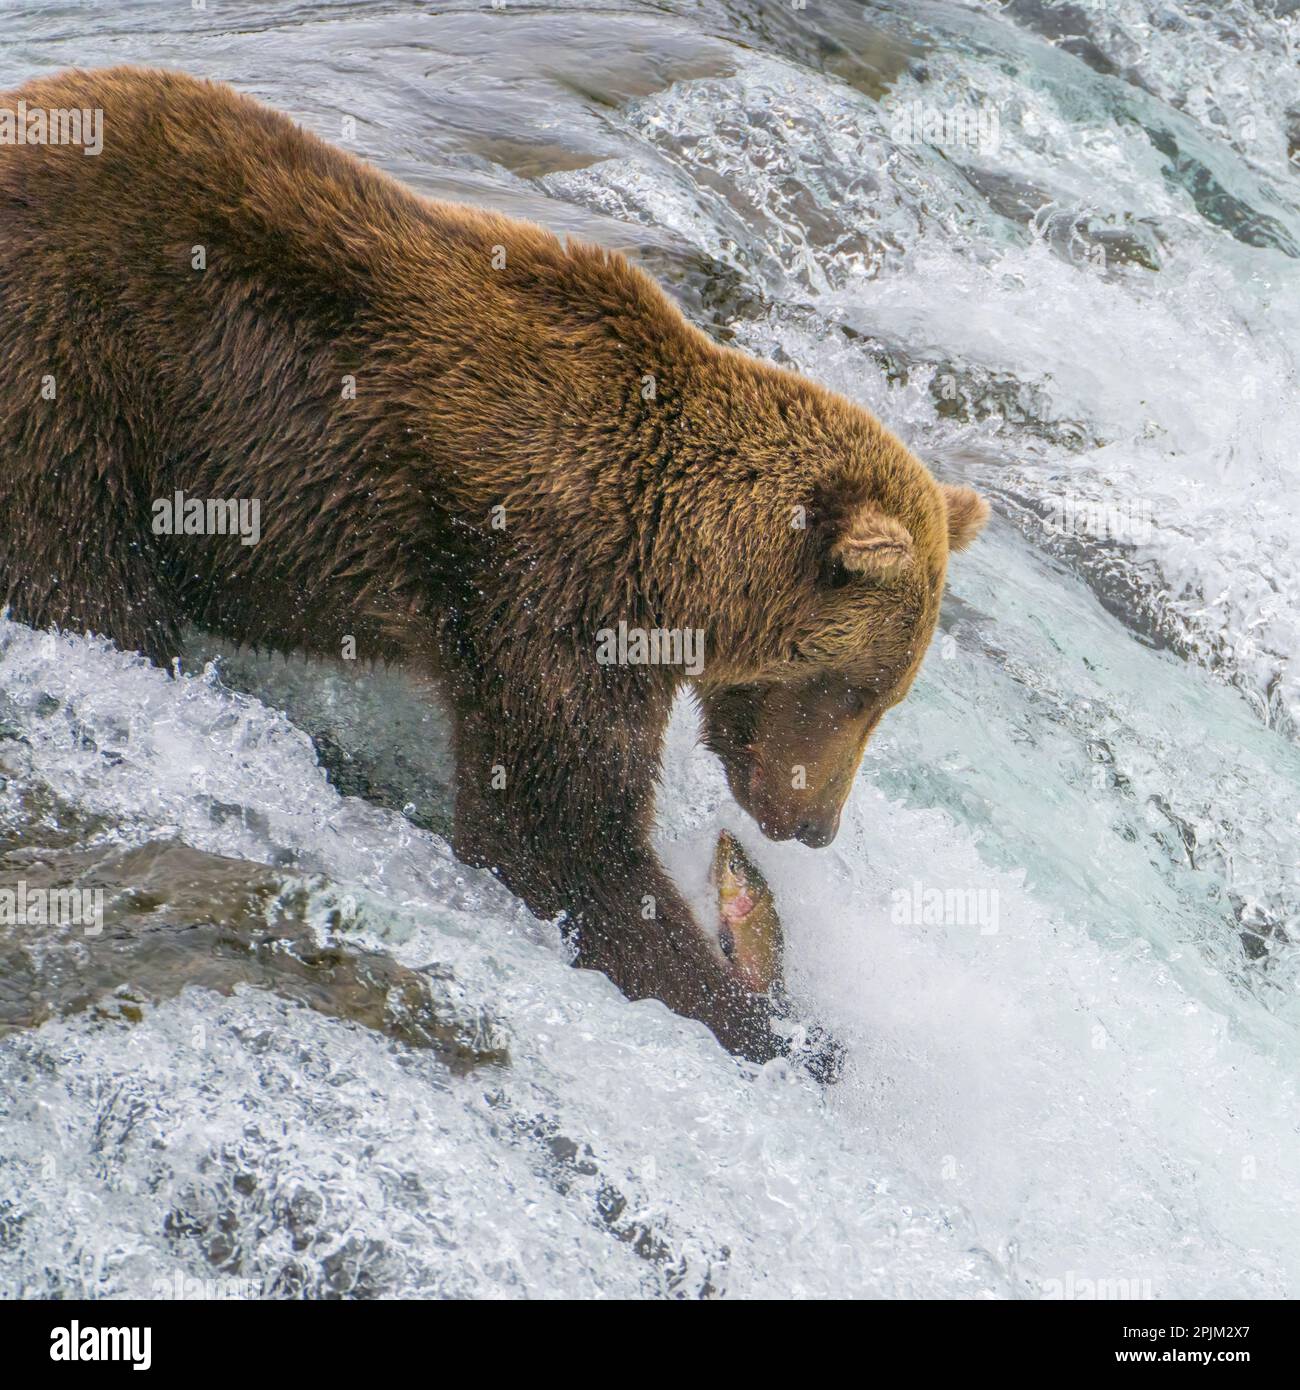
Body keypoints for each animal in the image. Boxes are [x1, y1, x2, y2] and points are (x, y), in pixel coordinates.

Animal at [0, 67, 988, 1067]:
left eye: (885, 700)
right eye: (855, 690)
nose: (815, 828)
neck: (675, 557)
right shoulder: (547, 589)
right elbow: (560, 838)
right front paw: (766, 1021)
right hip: (72, 368)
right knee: (81, 573)